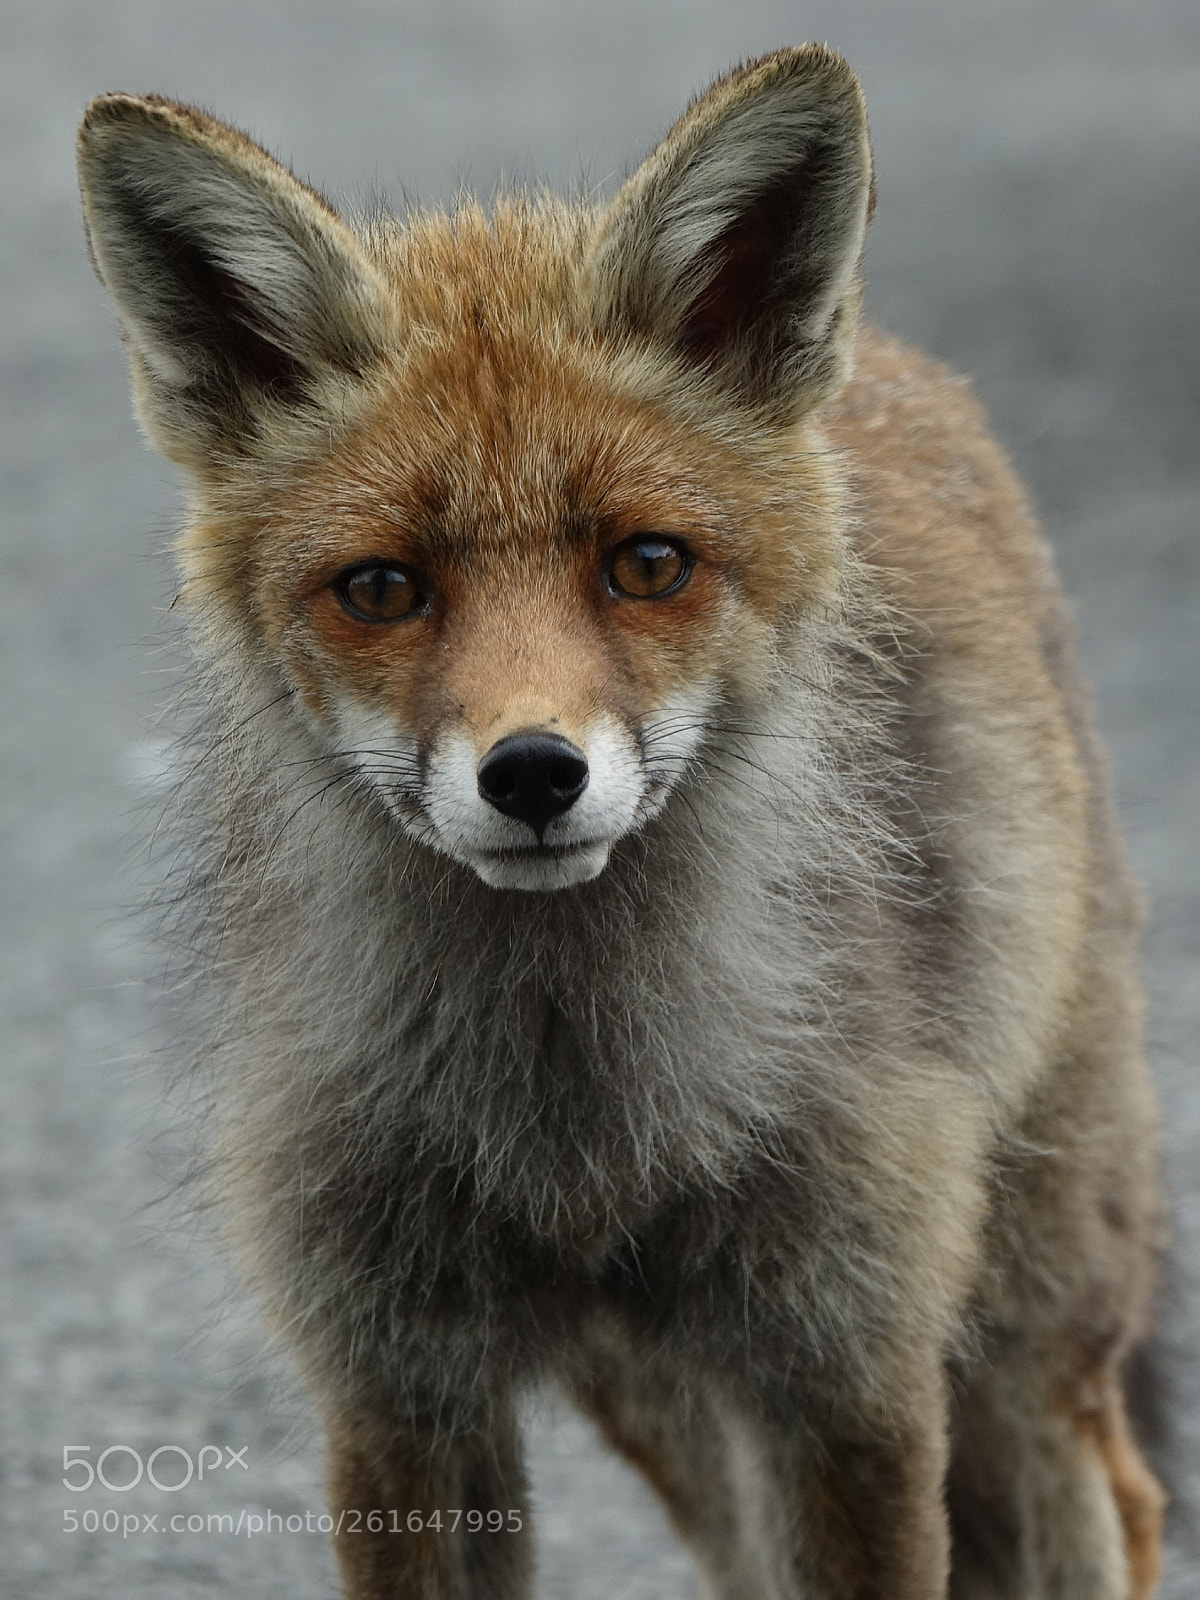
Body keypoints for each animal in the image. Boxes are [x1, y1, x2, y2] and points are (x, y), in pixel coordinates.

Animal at [76, 44, 1166, 1600]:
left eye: (646, 564)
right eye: (383, 588)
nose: (533, 773)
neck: (573, 1117)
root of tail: (896, 360)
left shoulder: (849, 1362)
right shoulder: (401, 1385)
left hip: (1023, 1309)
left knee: (1109, 1493)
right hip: (665, 1399)